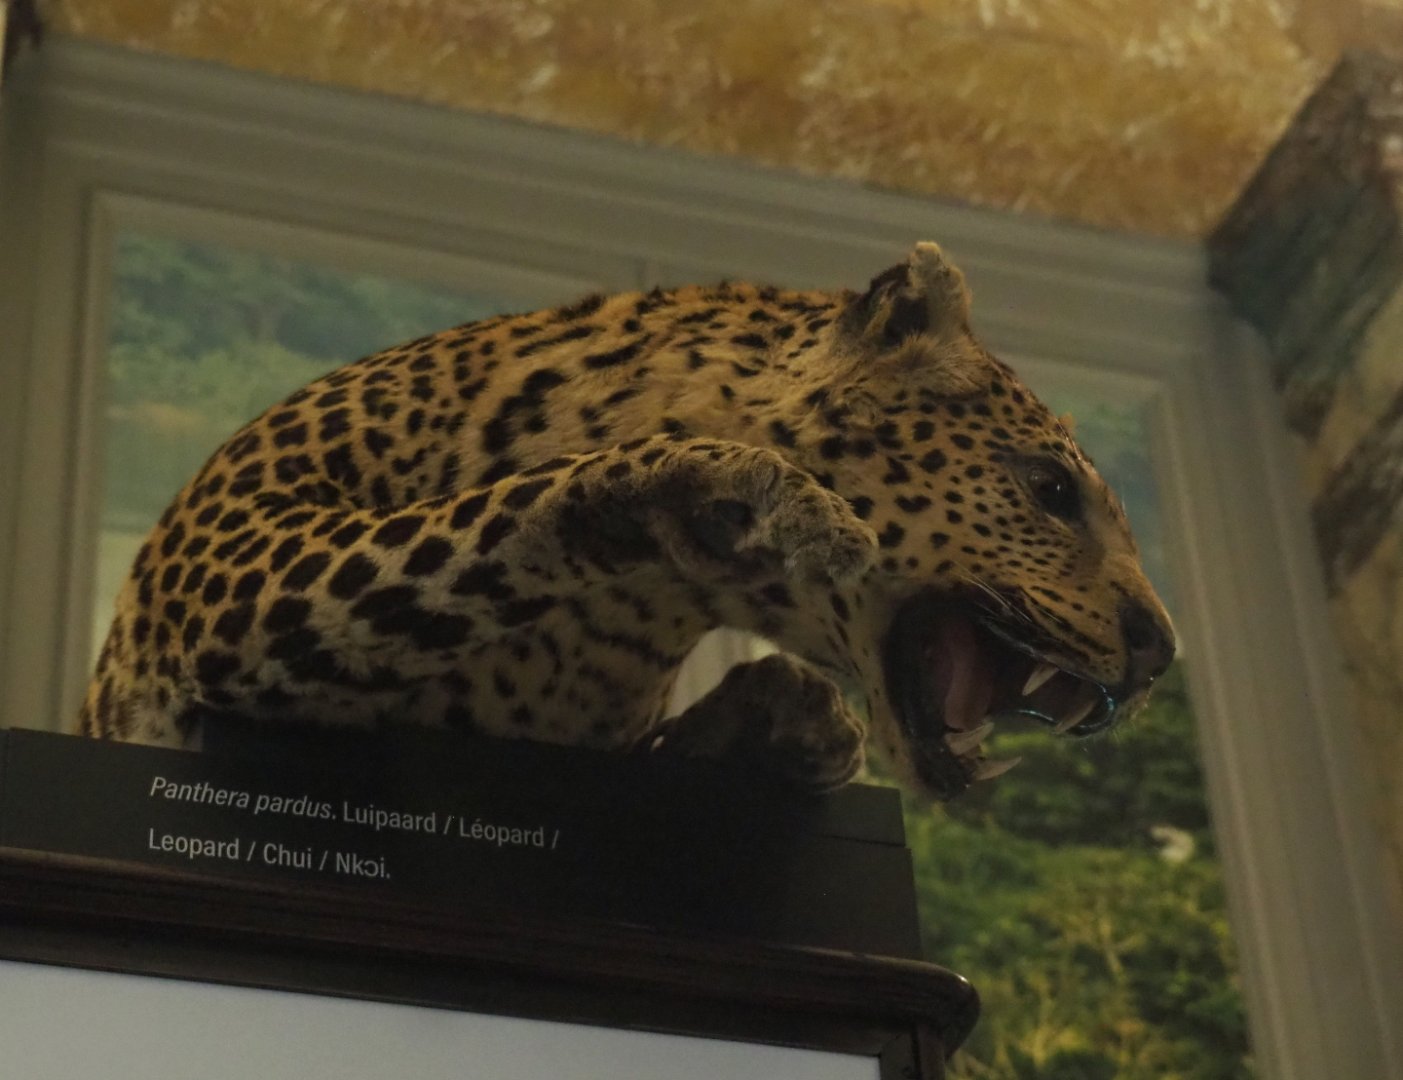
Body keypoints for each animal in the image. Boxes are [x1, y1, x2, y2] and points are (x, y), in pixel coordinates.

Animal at [76, 242, 1175, 801]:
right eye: (1049, 491)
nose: (1161, 651)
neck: (631, 616)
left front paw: (788, 721)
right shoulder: (237, 576)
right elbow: (487, 518)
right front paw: (710, 483)